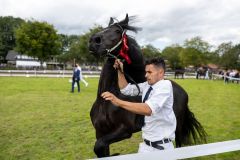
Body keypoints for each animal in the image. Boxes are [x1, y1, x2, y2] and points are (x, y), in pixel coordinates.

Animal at [88, 14, 206, 158]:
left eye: (117, 31)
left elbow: (99, 146)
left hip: (177, 125)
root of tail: (182, 91)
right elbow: (101, 150)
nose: (94, 41)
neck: (105, 102)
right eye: (105, 28)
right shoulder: (100, 132)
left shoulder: (124, 130)